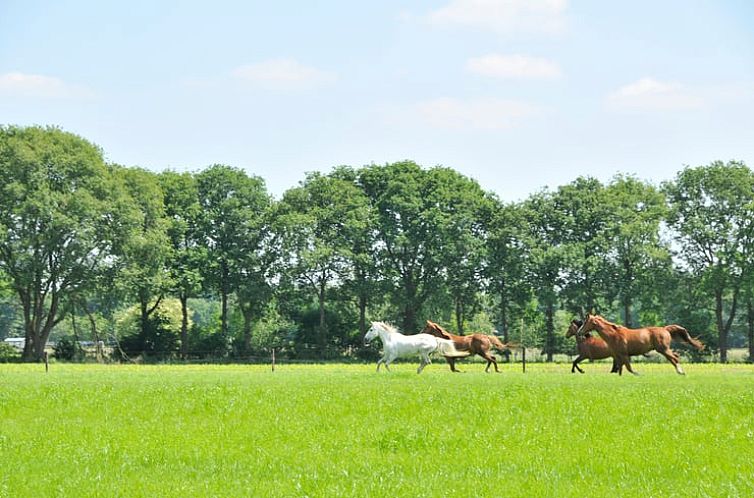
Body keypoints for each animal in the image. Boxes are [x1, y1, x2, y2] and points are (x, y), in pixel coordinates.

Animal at [576, 314, 704, 376]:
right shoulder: (618, 355)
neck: (614, 335)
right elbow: (621, 369)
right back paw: (680, 372)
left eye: (585, 322)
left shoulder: (624, 355)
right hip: (663, 350)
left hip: (663, 349)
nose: (579, 332)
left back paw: (681, 372)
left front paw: (638, 374)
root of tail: (665, 329)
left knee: (675, 358)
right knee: (674, 358)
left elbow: (628, 368)